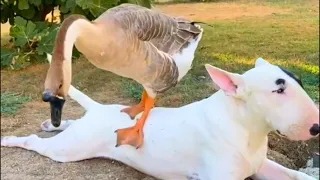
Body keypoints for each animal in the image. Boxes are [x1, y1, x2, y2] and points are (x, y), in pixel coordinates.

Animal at [1, 56, 318, 179]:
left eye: (299, 80)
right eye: (278, 89)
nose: (316, 128)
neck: (245, 127)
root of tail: (99, 109)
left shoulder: (262, 165)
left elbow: (296, 174)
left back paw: (50, 124)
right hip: (68, 150)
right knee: (35, 142)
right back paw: (11, 139)